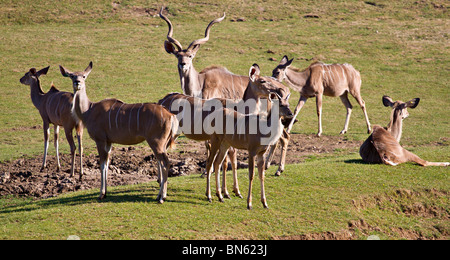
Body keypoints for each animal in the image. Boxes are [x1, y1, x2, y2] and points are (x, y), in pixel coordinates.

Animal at [59, 62, 179, 202]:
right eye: (72, 76)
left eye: (83, 76)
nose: (77, 82)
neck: (88, 110)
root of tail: (170, 115)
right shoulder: (109, 142)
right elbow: (107, 164)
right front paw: (106, 192)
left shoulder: (100, 140)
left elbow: (102, 165)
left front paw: (101, 194)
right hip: (163, 143)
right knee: (164, 162)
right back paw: (161, 195)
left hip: (156, 142)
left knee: (165, 162)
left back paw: (161, 197)